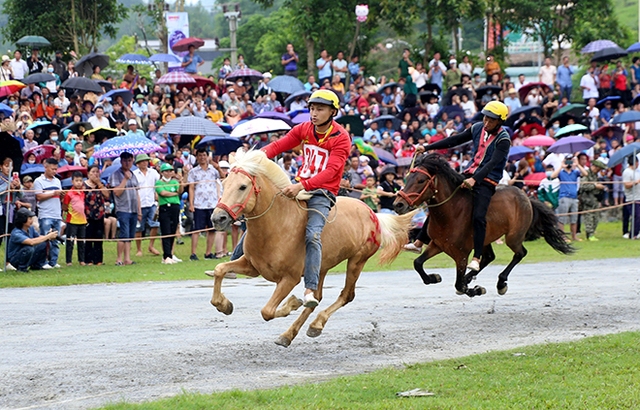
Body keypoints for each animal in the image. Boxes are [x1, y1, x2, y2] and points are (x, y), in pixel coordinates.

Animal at [205, 151, 416, 346]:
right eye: (224, 183)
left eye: (243, 186)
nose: (218, 218)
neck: (277, 225)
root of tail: (372, 213)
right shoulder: (252, 267)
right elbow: (220, 269)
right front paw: (224, 305)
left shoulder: (289, 279)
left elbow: (267, 311)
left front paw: (292, 303)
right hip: (321, 268)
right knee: (317, 298)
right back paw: (289, 335)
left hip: (357, 261)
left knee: (346, 295)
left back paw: (316, 324)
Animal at [392, 154, 572, 298]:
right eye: (407, 179)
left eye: (421, 180)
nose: (398, 204)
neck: (452, 212)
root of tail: (526, 196)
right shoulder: (437, 245)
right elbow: (418, 263)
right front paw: (434, 277)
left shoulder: (461, 255)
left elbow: (458, 284)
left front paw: (475, 289)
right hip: (485, 239)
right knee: (488, 257)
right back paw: (470, 277)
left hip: (513, 237)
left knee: (520, 253)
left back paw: (500, 283)